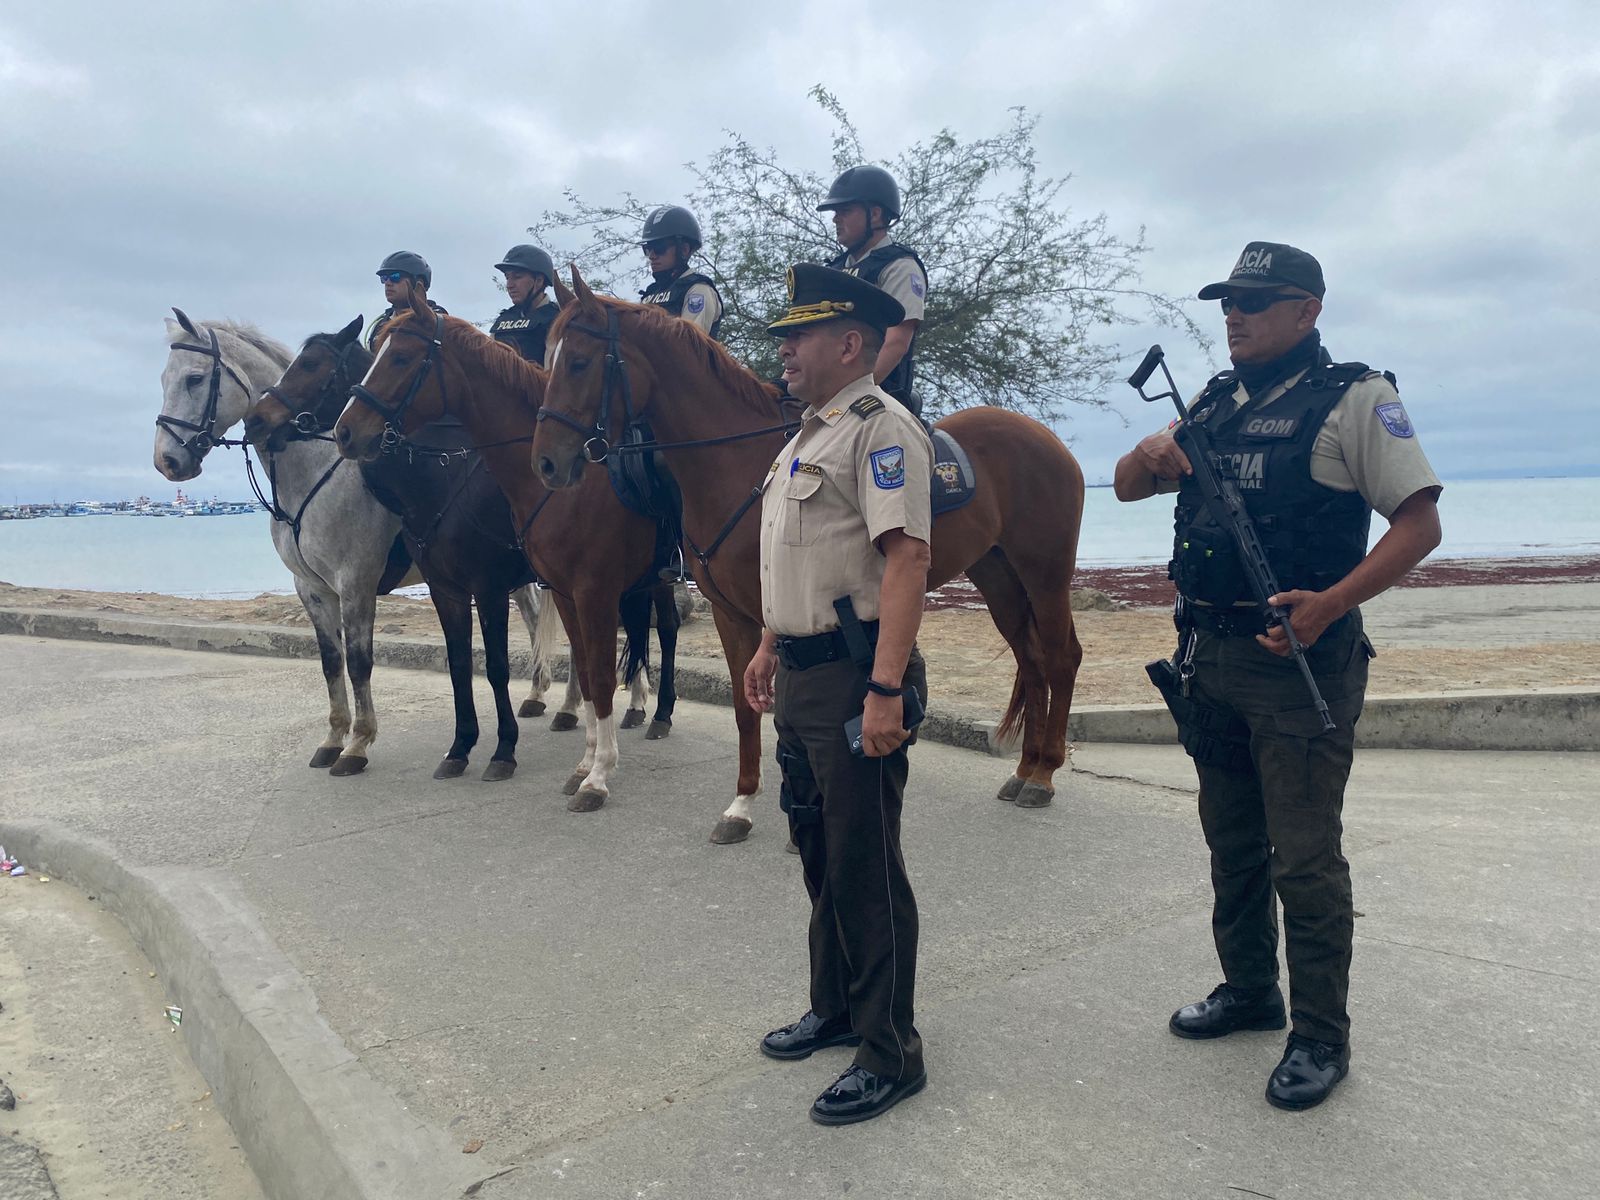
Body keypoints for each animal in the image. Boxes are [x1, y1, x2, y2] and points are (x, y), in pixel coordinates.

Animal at [150, 310, 563, 774]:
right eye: (165, 379)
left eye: (195, 378)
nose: (168, 461)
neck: (314, 474)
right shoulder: (312, 589)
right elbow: (331, 662)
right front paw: (333, 737)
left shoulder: (356, 583)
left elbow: (360, 662)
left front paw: (358, 743)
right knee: (535, 617)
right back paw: (540, 695)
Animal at [334, 292, 684, 819]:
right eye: (373, 354)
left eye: (401, 358)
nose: (346, 431)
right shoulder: (469, 591)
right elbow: (473, 665)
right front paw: (464, 749)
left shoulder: (509, 588)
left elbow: (514, 668)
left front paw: (513, 755)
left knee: (667, 629)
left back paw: (658, 713)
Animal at [537, 268, 1088, 838]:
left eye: (578, 362)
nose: (548, 463)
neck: (734, 463)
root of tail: (1047, 438)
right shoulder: (733, 615)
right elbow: (746, 708)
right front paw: (741, 805)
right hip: (998, 576)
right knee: (1032, 660)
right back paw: (1023, 770)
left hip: (1045, 573)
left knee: (1061, 657)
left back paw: (1043, 776)